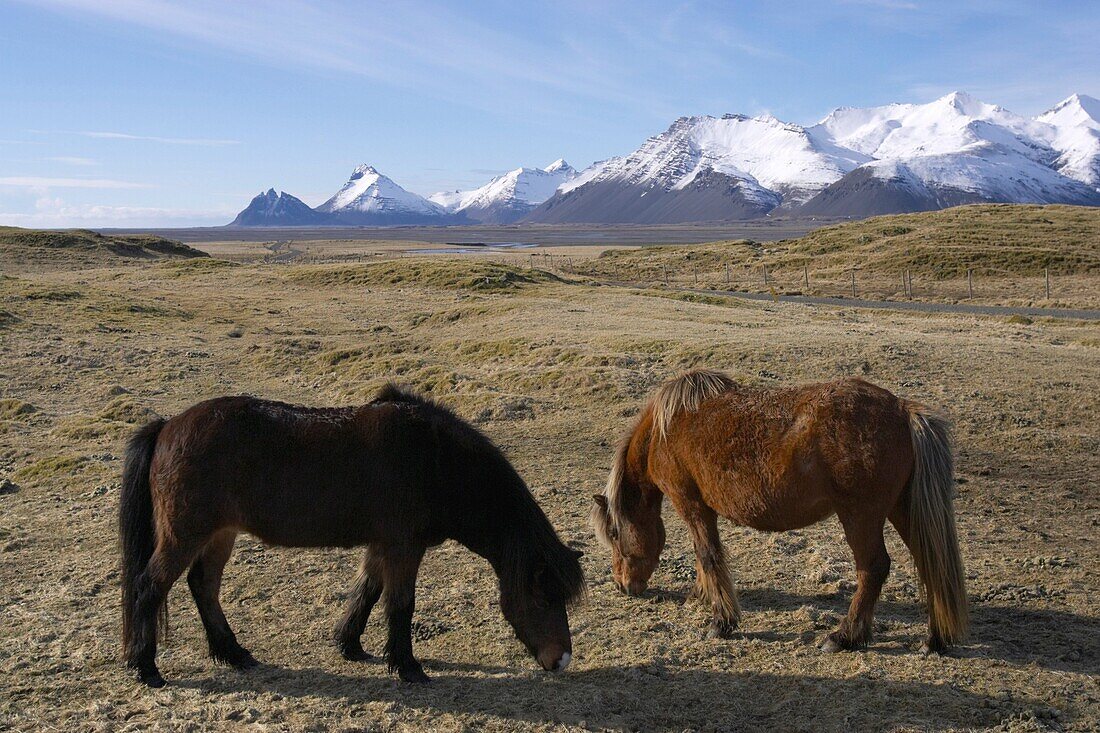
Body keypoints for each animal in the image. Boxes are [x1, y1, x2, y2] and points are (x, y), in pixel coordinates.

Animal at [119, 383, 585, 686]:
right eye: (543, 595)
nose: (561, 660)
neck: (437, 462)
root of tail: (168, 426)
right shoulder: (404, 548)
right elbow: (401, 605)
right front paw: (408, 667)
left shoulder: (383, 546)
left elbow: (368, 593)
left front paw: (351, 646)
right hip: (186, 535)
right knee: (149, 587)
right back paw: (147, 668)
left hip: (220, 534)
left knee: (204, 586)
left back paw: (233, 654)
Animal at [594, 367, 972, 651]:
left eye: (614, 532)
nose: (623, 585)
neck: (665, 431)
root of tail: (903, 409)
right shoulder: (703, 510)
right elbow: (706, 557)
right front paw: (701, 596)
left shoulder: (692, 505)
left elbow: (708, 555)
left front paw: (722, 622)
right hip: (901, 510)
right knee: (930, 561)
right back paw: (935, 638)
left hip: (860, 516)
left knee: (874, 568)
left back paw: (845, 636)